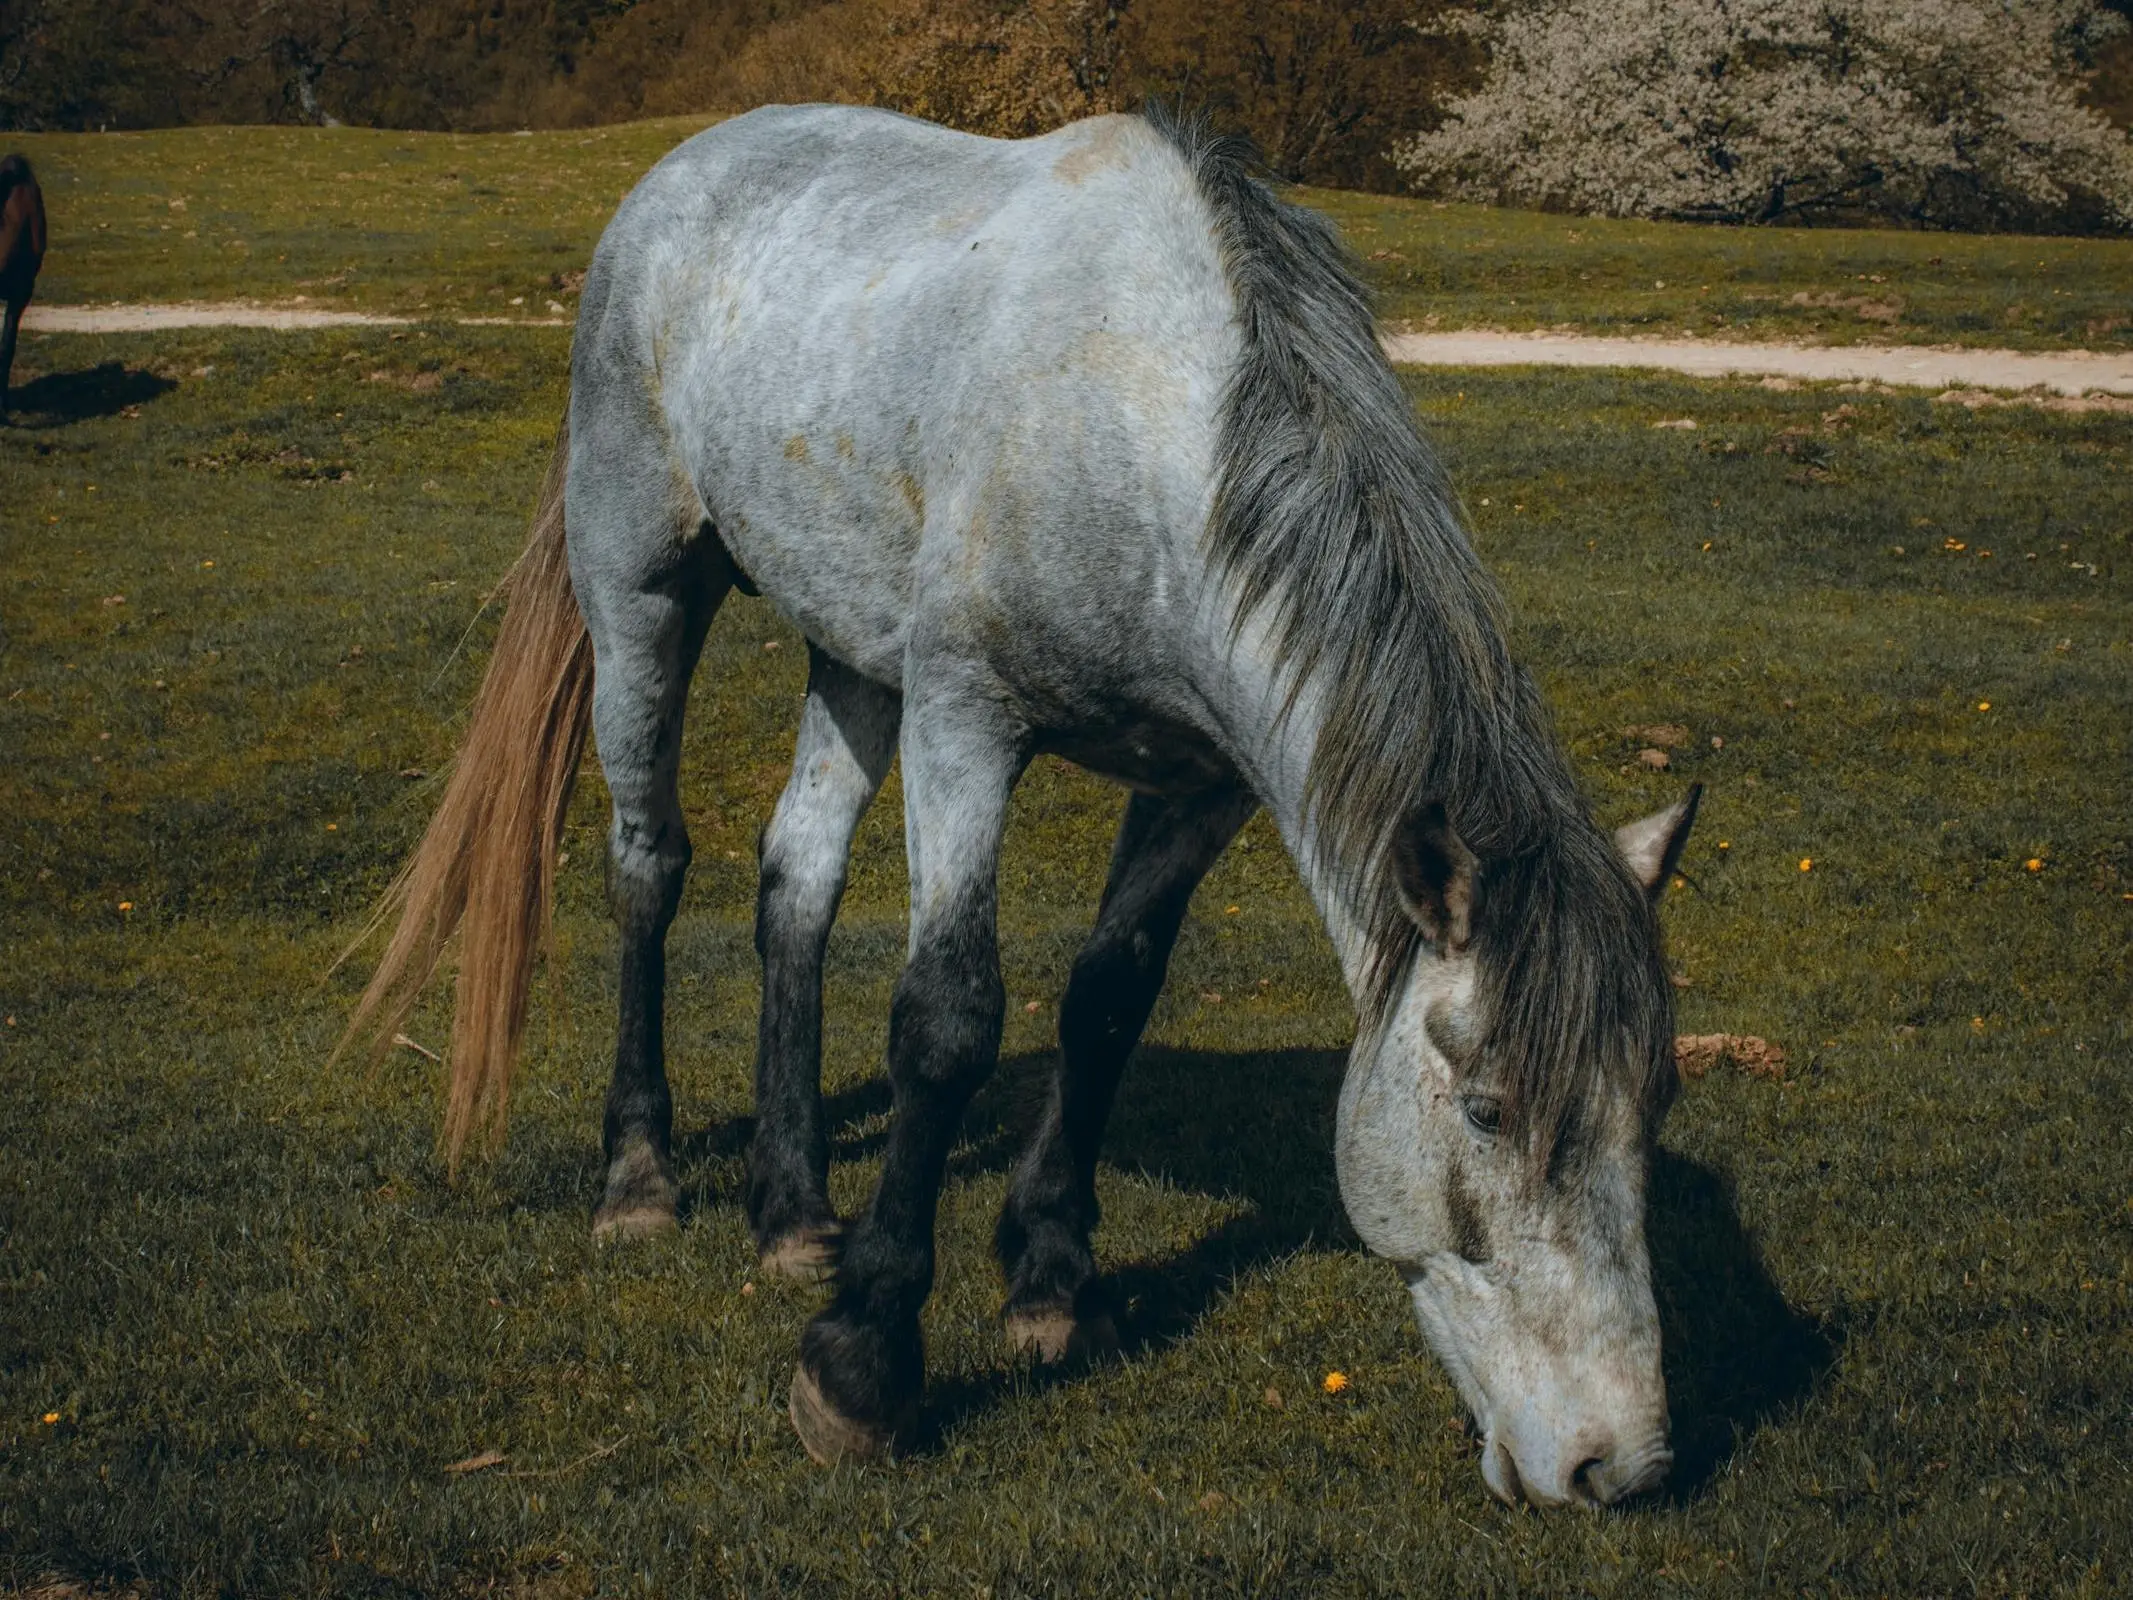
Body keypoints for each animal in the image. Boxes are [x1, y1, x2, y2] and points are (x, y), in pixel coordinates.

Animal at [358, 106, 1706, 1510]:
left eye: (1653, 1102)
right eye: (1489, 1107)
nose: (1619, 1461)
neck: (1139, 417)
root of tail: (679, 173)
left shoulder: (1196, 787)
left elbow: (1107, 999)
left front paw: (1052, 1278)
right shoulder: (967, 723)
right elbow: (947, 1018)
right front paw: (863, 1362)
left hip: (854, 655)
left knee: (795, 886)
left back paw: (791, 1211)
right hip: (645, 594)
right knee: (647, 866)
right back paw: (639, 1177)